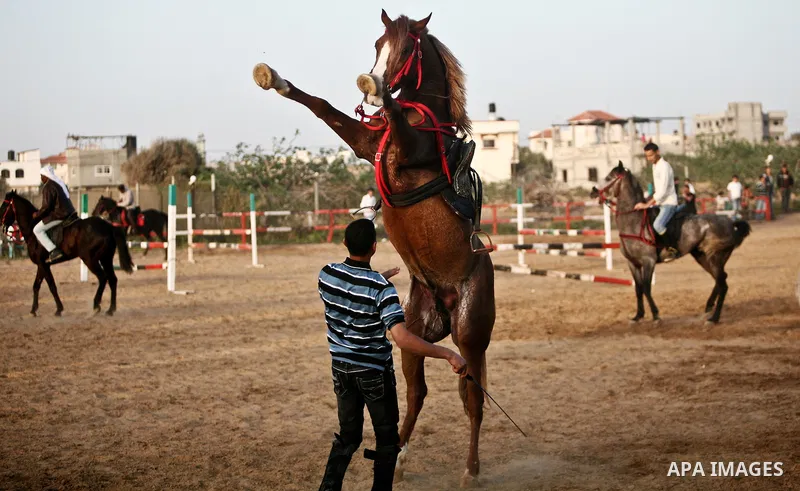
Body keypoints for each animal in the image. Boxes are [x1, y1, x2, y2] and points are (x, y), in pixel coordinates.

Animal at [1, 191, 134, 316]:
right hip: (105, 259)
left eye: (4, 205)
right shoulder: (42, 265)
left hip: (90, 259)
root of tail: (108, 226)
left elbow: (51, 286)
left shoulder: (43, 264)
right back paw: (111, 309)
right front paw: (34, 310)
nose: (1, 223)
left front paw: (59, 309)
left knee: (103, 277)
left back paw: (96, 306)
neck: (32, 230)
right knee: (112, 279)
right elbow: (36, 285)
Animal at [253, 10, 495, 487]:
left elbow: (392, 113)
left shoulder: (407, 148)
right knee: (417, 393)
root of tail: (446, 299)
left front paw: (381, 92)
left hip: (470, 335)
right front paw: (274, 79)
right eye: (379, 42)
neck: (428, 122)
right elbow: (322, 106)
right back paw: (396, 458)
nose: (371, 81)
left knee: (473, 396)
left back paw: (471, 469)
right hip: (413, 334)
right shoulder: (368, 145)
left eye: (406, 46)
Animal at [591, 162, 751, 325]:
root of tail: (730, 222)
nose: (593, 192)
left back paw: (714, 318)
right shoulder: (633, 263)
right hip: (703, 257)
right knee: (720, 279)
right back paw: (709, 306)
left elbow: (647, 288)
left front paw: (655, 315)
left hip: (715, 257)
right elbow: (638, 289)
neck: (634, 222)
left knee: (723, 284)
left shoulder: (648, 261)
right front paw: (638, 316)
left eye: (609, 178)